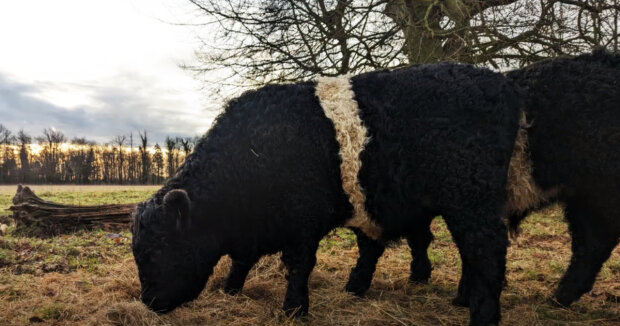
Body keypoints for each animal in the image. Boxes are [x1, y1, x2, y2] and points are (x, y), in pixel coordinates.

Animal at [132, 62, 524, 324]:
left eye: (159, 249)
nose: (148, 302)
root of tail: (497, 80)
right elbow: (242, 260)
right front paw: (231, 289)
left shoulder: (302, 222)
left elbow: (298, 266)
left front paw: (293, 309)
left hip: (470, 200)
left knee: (484, 251)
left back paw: (481, 313)